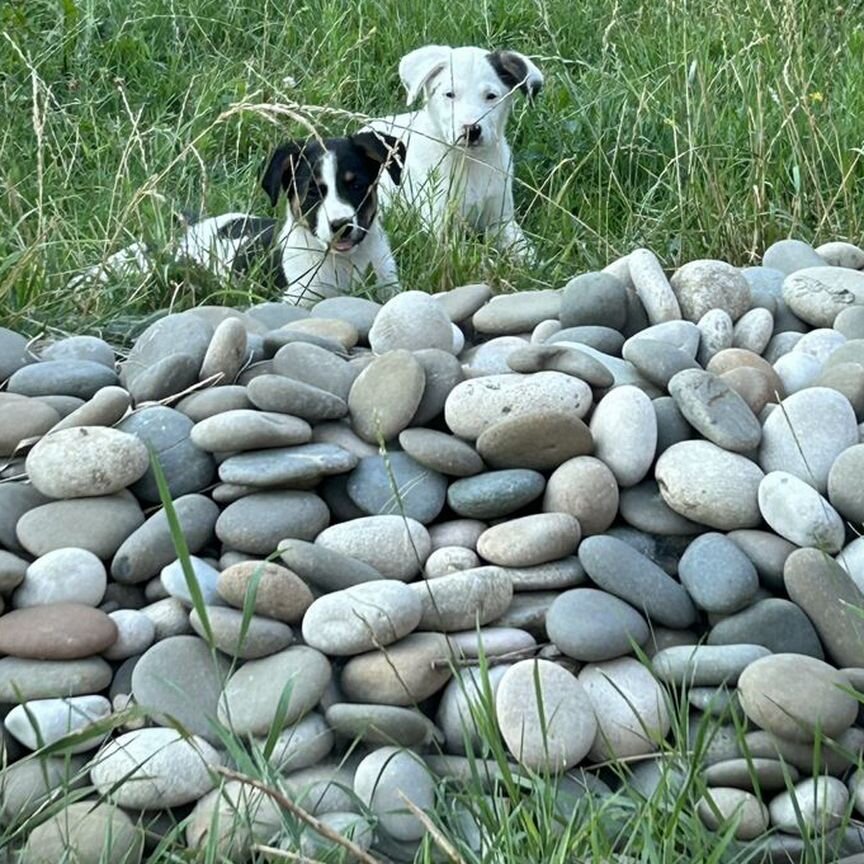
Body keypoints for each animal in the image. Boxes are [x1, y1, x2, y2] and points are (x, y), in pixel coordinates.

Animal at [67, 133, 404, 308]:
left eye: (356, 185)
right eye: (311, 193)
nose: (341, 225)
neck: (345, 264)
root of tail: (189, 230)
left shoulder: (389, 288)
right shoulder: (294, 300)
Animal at [366, 44, 544, 260]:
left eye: (491, 96)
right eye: (449, 94)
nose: (471, 130)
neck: (468, 161)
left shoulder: (501, 221)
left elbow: (524, 249)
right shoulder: (441, 230)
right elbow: (468, 256)